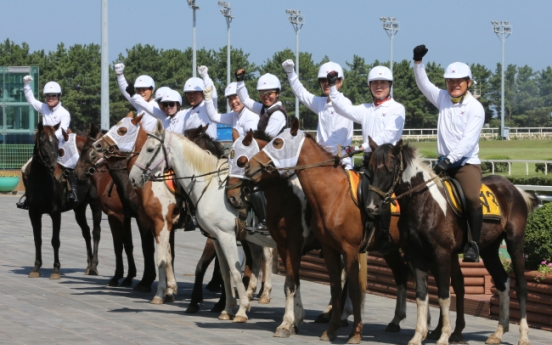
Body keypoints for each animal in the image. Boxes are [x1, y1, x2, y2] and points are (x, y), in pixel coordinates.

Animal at [24, 122, 101, 278]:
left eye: (56, 142)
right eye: (42, 142)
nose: (54, 167)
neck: (42, 181)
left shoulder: (55, 213)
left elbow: (55, 241)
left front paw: (56, 269)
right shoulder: (33, 213)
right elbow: (37, 240)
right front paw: (36, 268)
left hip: (95, 204)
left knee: (95, 232)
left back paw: (94, 266)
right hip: (79, 208)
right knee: (86, 232)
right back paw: (89, 265)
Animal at [128, 119, 276, 322]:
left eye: (150, 149)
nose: (133, 178)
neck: (210, 186)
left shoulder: (223, 236)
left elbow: (233, 271)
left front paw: (239, 310)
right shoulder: (215, 237)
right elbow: (224, 272)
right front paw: (226, 308)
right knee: (258, 258)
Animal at [245, 117, 410, 342]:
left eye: (277, 143)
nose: (248, 166)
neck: (334, 193)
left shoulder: (340, 248)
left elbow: (349, 288)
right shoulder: (317, 247)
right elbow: (324, 286)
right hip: (390, 247)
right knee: (401, 273)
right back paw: (395, 320)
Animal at [364, 137, 536, 344]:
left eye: (389, 169)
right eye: (370, 168)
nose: (371, 206)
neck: (424, 202)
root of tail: (513, 188)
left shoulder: (441, 253)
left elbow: (444, 295)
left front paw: (444, 335)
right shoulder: (416, 255)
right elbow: (422, 295)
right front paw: (418, 335)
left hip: (514, 243)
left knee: (521, 286)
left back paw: (523, 335)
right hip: (489, 250)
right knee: (502, 282)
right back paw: (498, 332)